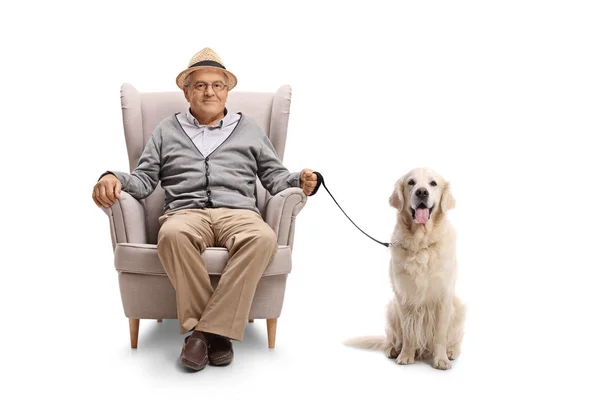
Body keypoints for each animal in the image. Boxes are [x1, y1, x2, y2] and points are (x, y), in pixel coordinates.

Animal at [344, 167, 466, 370]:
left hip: (459, 307)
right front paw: (406, 355)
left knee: (455, 338)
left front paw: (441, 359)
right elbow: (408, 332)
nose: (422, 192)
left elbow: (440, 334)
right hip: (391, 308)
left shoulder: (443, 295)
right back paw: (393, 349)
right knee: (394, 338)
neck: (421, 243)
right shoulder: (404, 296)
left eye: (433, 183)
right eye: (411, 182)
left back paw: (451, 351)